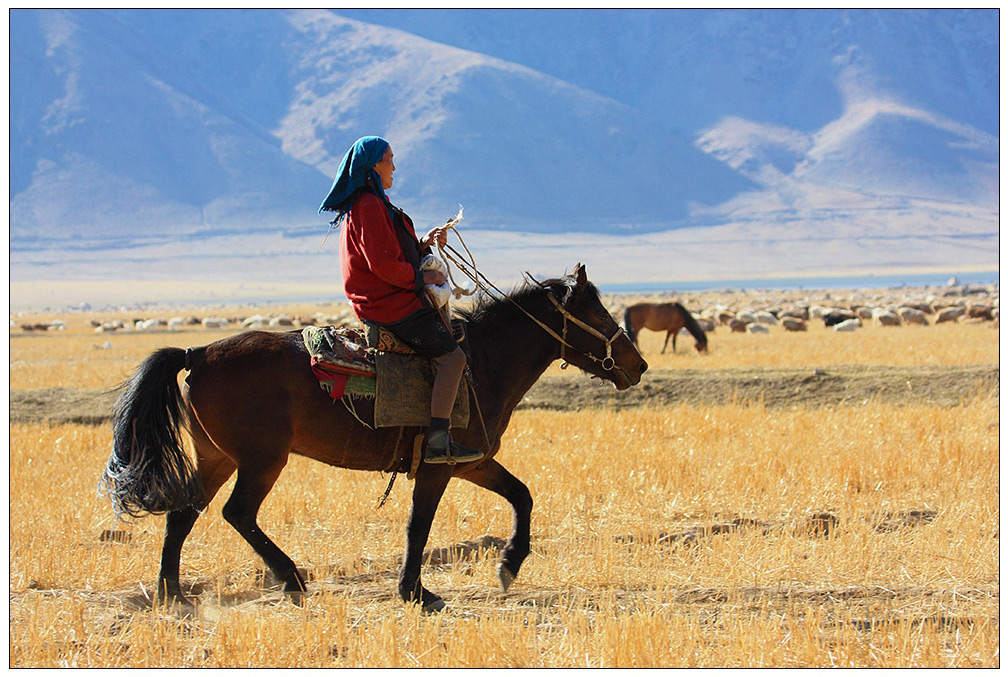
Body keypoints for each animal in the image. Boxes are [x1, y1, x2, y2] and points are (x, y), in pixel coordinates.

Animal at [100, 263, 645, 612]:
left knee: (183, 514)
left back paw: (172, 594)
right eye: (598, 315)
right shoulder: (438, 467)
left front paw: (509, 564)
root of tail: (198, 353)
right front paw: (416, 592)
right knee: (237, 514)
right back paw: (291, 579)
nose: (637, 365)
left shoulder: (471, 463)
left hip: (217, 457)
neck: (482, 363)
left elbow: (522, 495)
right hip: (261, 460)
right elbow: (418, 527)